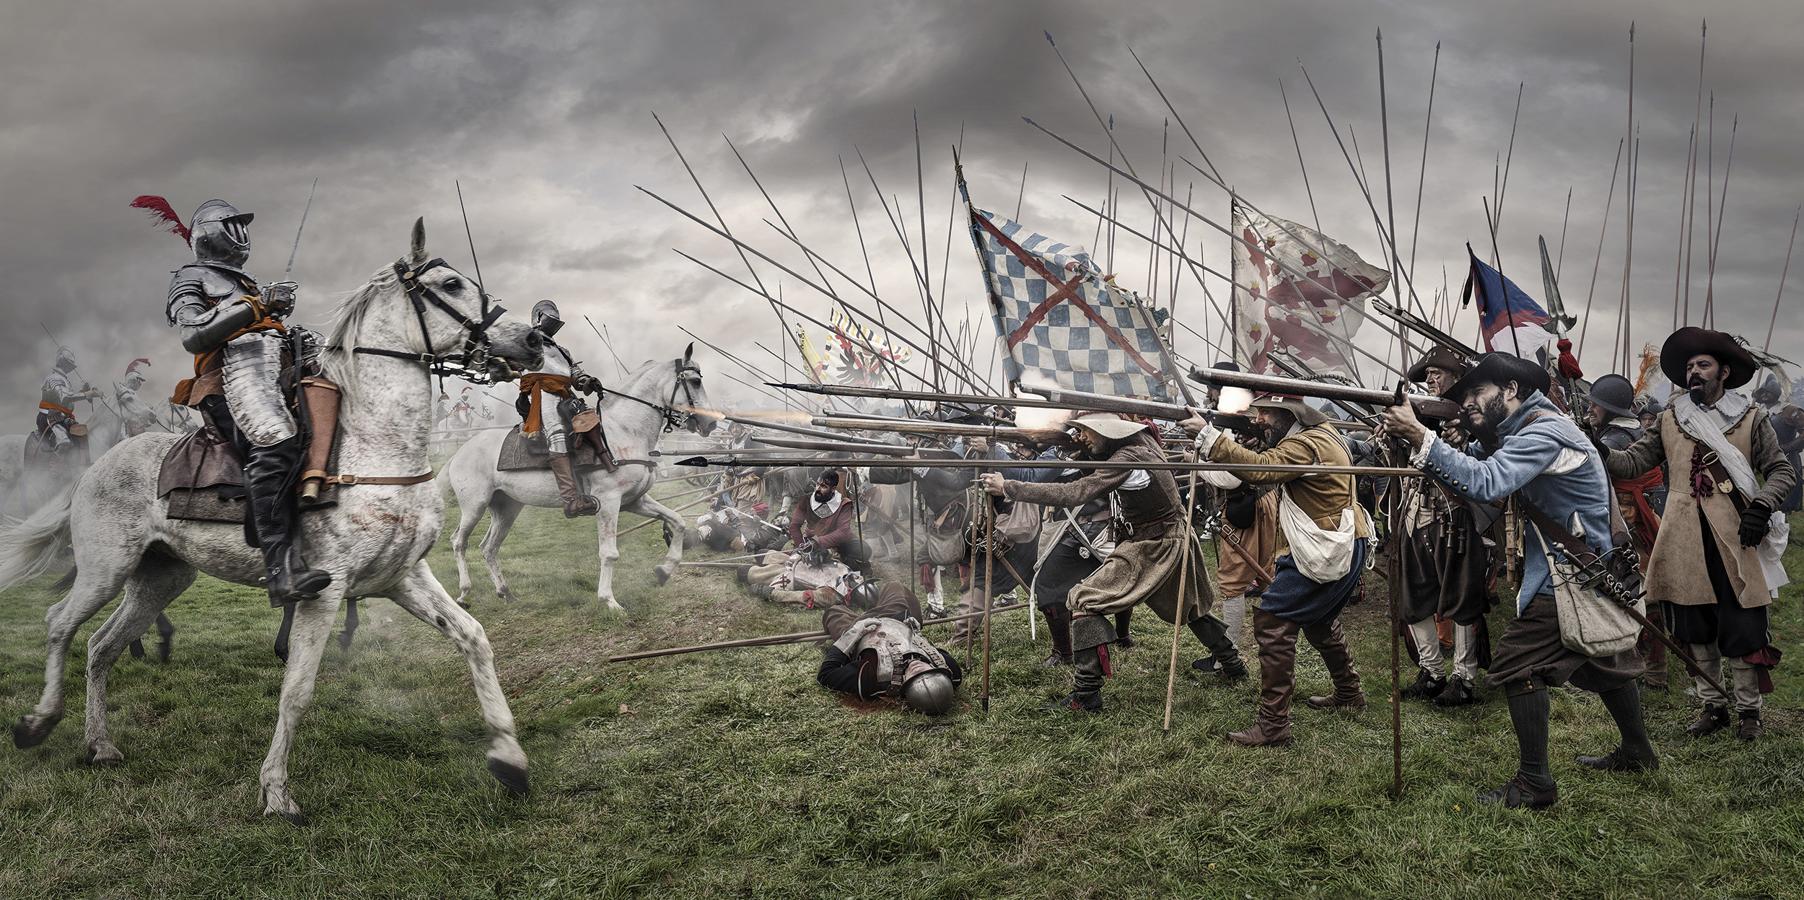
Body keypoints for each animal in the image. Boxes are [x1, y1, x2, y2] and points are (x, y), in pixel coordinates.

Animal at [3, 218, 544, 826]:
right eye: (451, 285)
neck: (374, 445)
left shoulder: (405, 577)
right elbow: (298, 689)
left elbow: (474, 639)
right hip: (105, 570)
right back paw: (38, 723)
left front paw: (509, 758)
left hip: (161, 577)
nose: (532, 340)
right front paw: (277, 793)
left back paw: (99, 744)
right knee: (59, 624)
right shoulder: (322, 593)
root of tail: (94, 466)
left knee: (101, 647)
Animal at [443, 346, 717, 613]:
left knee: (488, 547)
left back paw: (505, 592)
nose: (711, 423)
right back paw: (464, 593)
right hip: (474, 506)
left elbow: (677, 521)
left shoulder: (634, 501)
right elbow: (609, 553)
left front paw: (664, 570)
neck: (624, 431)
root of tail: (459, 453)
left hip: (507, 508)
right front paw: (609, 601)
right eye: (694, 381)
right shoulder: (608, 502)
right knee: (459, 542)